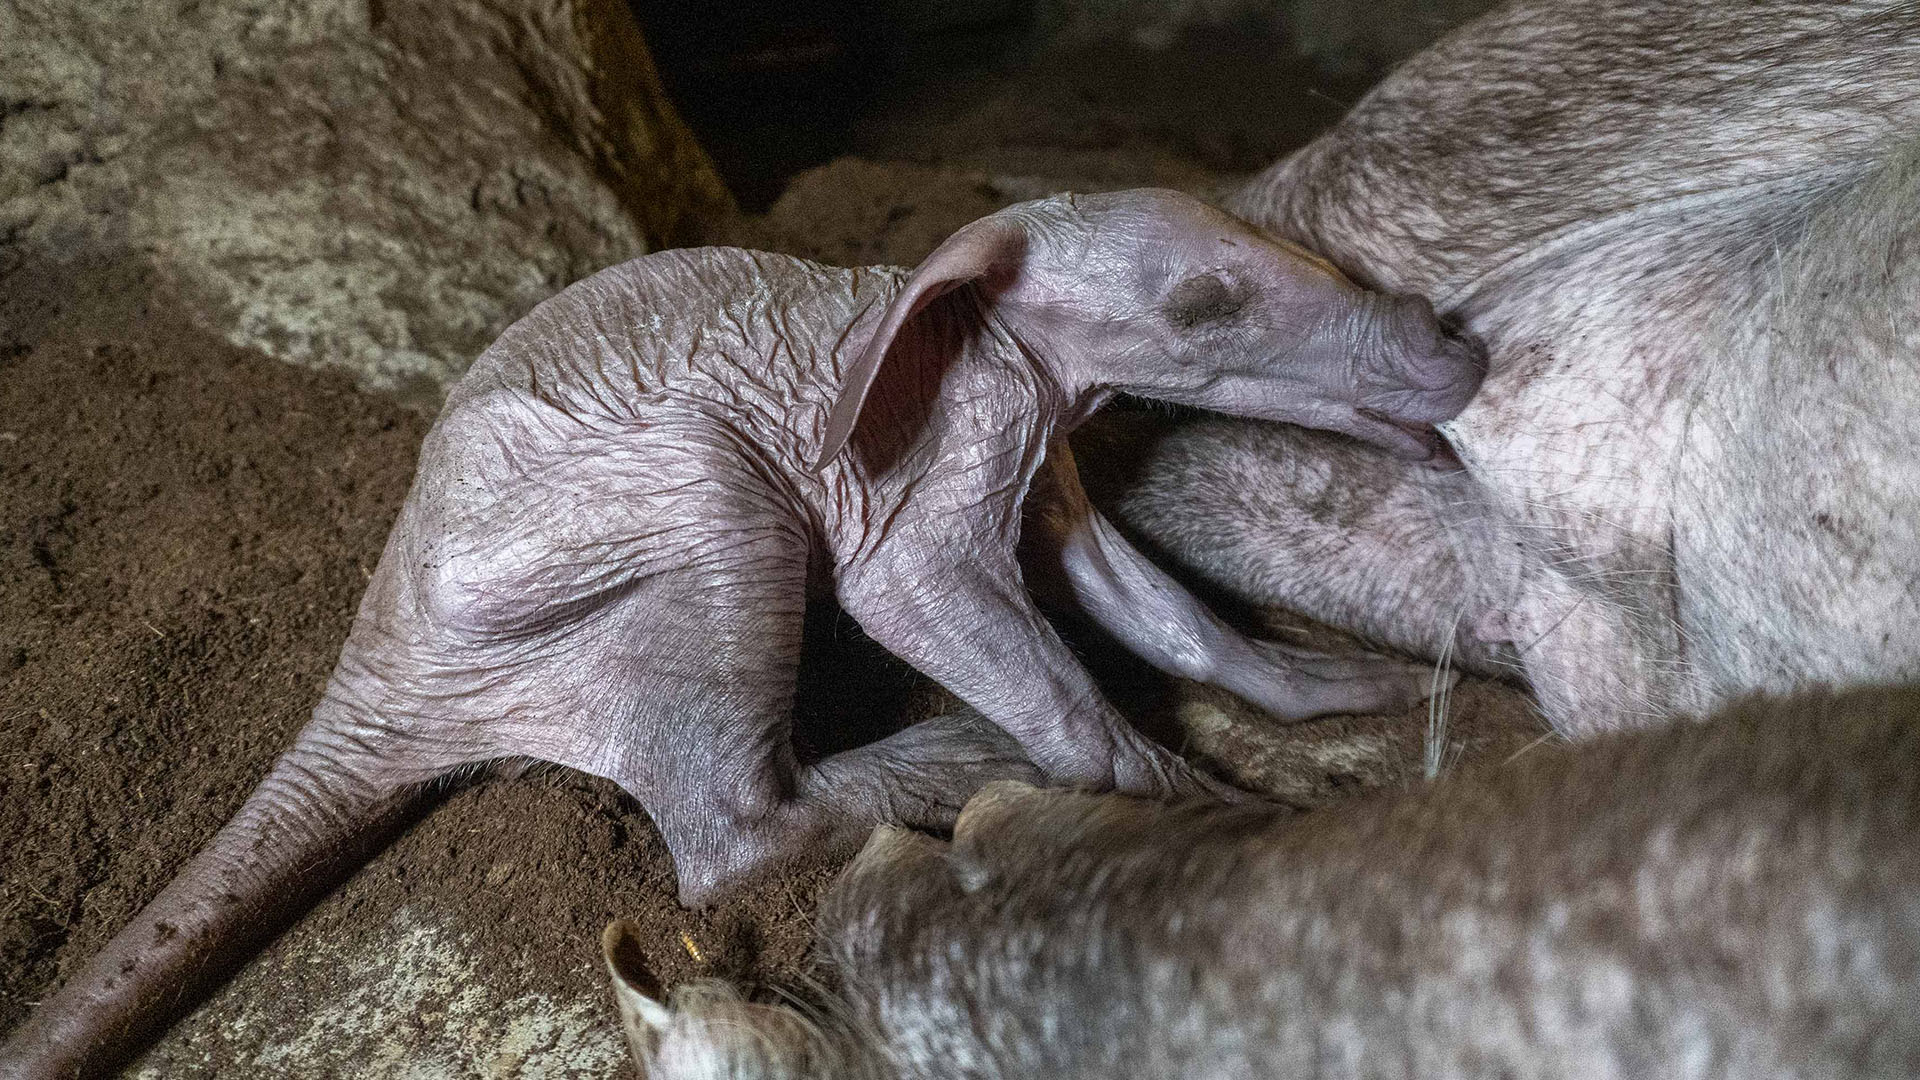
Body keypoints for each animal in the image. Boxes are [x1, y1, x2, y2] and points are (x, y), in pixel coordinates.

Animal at [0, 188, 1483, 1079]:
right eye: (1202, 306)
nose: (1455, 349)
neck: (950, 307)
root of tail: (373, 675)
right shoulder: (927, 459)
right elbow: (937, 608)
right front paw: (1184, 801)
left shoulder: (1033, 445)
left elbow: (1140, 596)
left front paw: (1345, 683)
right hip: (668, 508)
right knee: (726, 838)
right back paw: (951, 763)